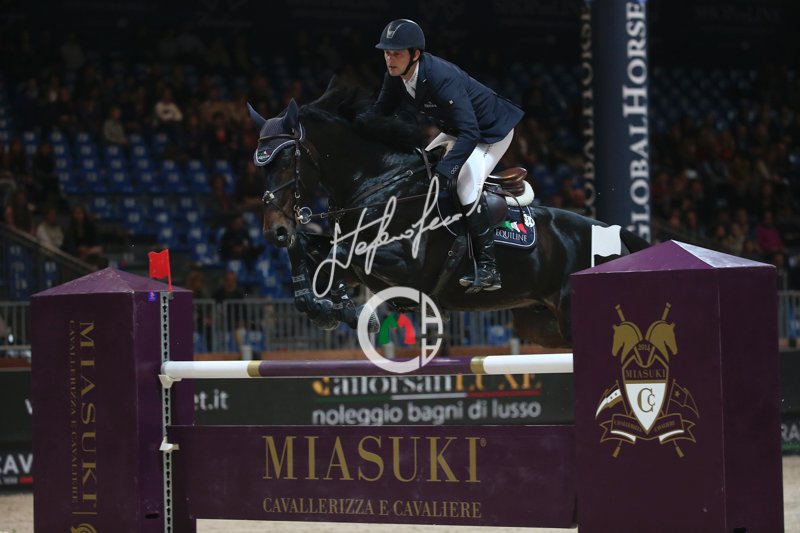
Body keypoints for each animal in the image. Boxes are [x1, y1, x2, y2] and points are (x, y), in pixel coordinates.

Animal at [248, 83, 649, 347]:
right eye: (260, 165)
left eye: (286, 158)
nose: (274, 231)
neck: (378, 182)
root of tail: (617, 235)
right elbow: (312, 250)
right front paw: (320, 304)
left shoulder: (407, 265)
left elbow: (341, 253)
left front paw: (343, 308)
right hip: (543, 326)